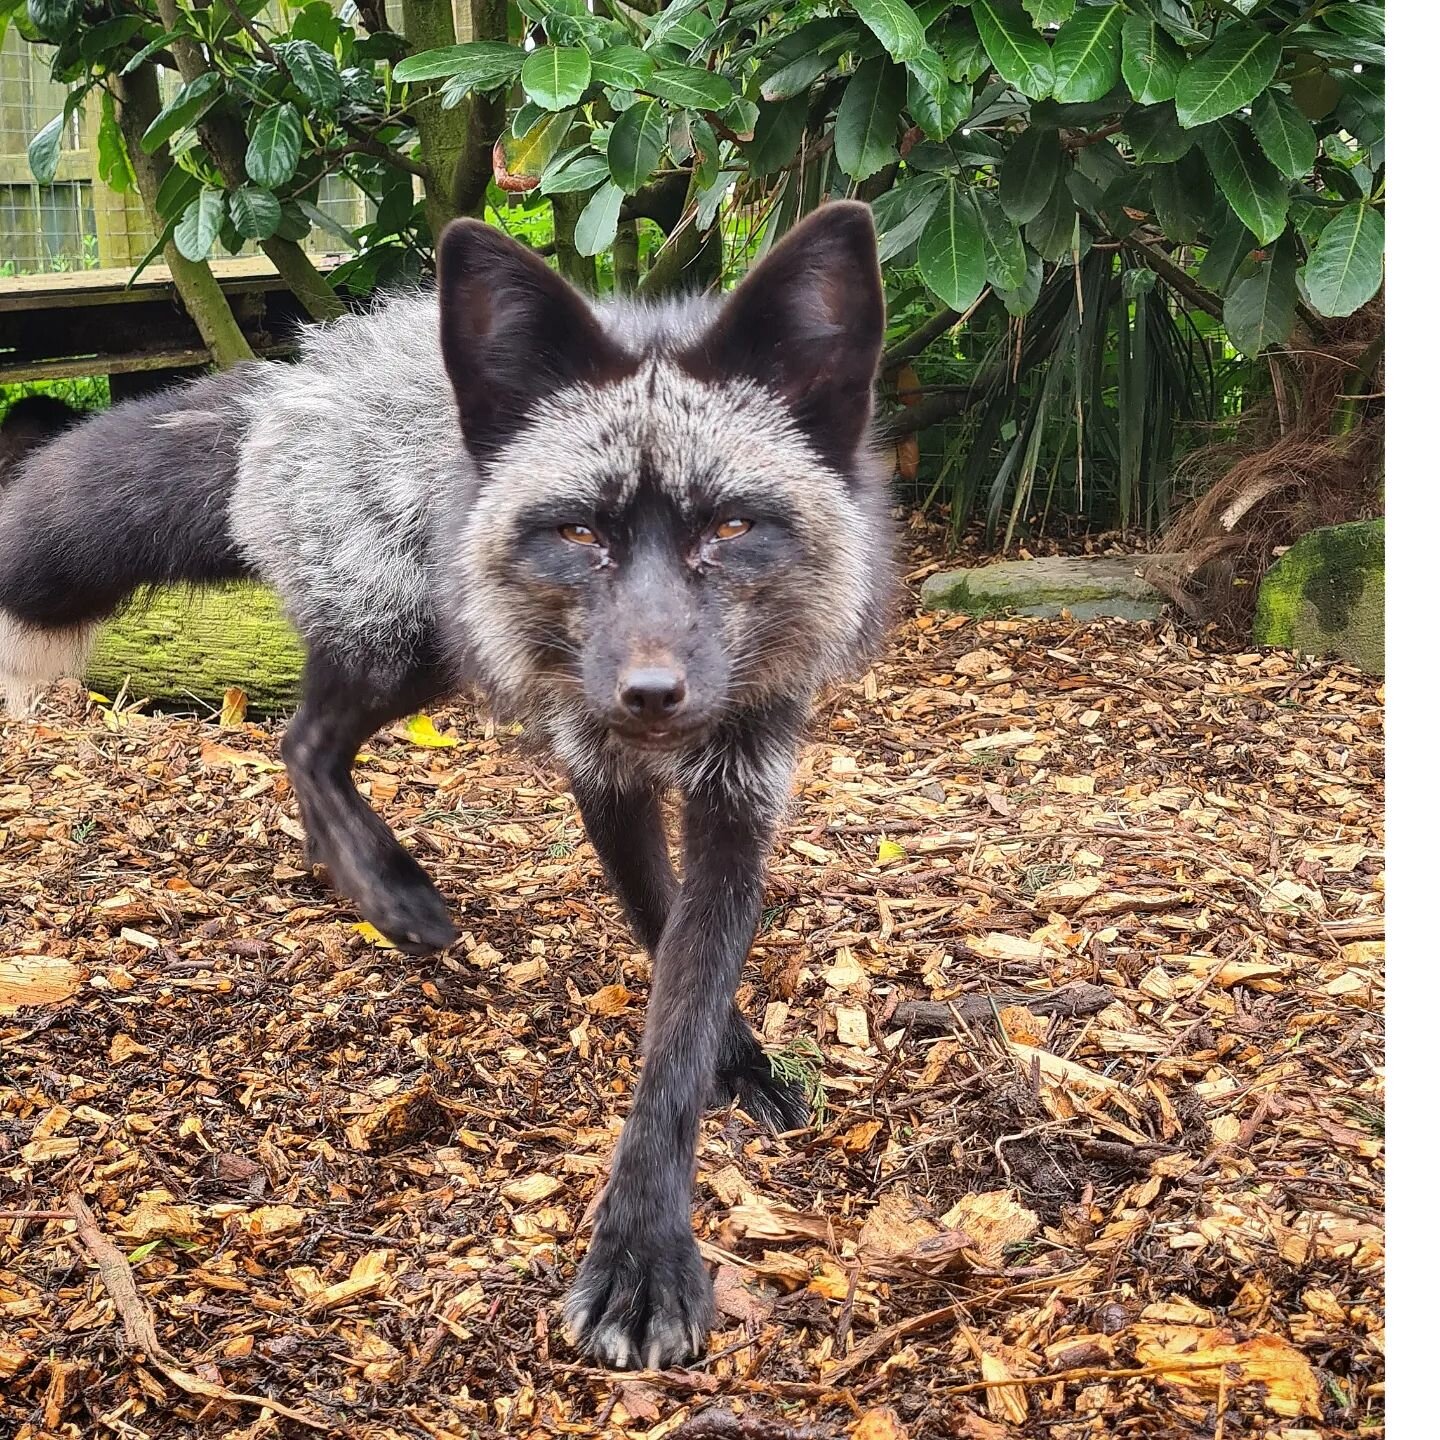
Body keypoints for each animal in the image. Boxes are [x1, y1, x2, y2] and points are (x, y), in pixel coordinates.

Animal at [0, 200, 892, 1359]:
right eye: (579, 532)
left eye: (732, 527)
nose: (652, 695)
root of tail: (299, 373)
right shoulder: (599, 766)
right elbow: (659, 940)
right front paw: (644, 1257)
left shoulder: (741, 788)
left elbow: (687, 994)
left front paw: (725, 1081)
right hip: (411, 640)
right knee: (303, 741)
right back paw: (390, 893)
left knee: (308, 743)